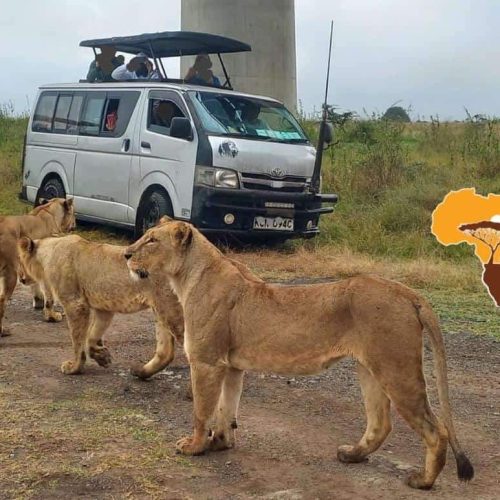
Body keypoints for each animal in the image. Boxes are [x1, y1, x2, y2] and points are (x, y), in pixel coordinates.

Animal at [0, 197, 75, 334]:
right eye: (73, 213)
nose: (75, 224)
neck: (50, 210)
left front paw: (39, 301)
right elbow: (49, 297)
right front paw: (52, 316)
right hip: (10, 273)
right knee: (2, 301)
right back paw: (2, 331)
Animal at [17, 234, 187, 378]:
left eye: (20, 261)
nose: (21, 279)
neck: (48, 253)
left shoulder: (75, 304)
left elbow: (77, 340)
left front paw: (74, 367)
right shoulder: (104, 309)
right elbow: (91, 336)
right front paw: (102, 357)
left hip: (172, 311)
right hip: (161, 311)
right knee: (166, 352)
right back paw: (140, 372)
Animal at [124, 221, 472, 490]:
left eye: (152, 240)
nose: (126, 254)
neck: (188, 276)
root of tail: (408, 292)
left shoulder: (207, 362)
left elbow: (201, 410)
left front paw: (194, 447)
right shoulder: (231, 366)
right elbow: (225, 407)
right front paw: (220, 443)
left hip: (396, 370)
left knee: (436, 430)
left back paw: (423, 481)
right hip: (369, 369)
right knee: (381, 423)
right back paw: (351, 454)